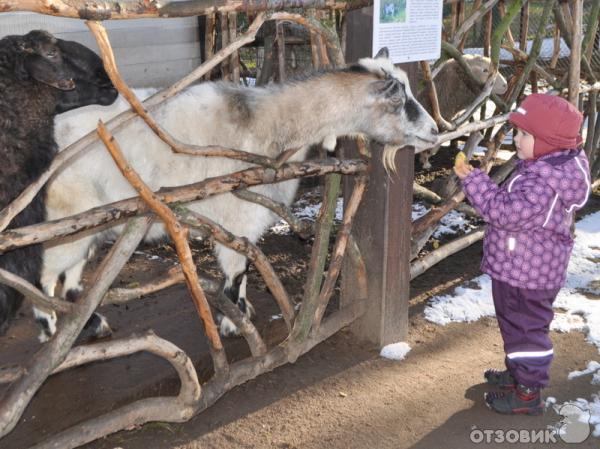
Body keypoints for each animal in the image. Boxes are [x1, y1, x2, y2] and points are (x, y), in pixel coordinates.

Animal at [39, 46, 438, 340]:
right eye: (400, 100)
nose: (434, 131)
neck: (265, 126)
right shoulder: (236, 219)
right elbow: (236, 273)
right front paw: (233, 324)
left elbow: (246, 266)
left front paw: (242, 311)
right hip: (64, 221)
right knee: (43, 277)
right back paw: (49, 328)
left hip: (87, 227)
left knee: (70, 279)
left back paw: (91, 325)